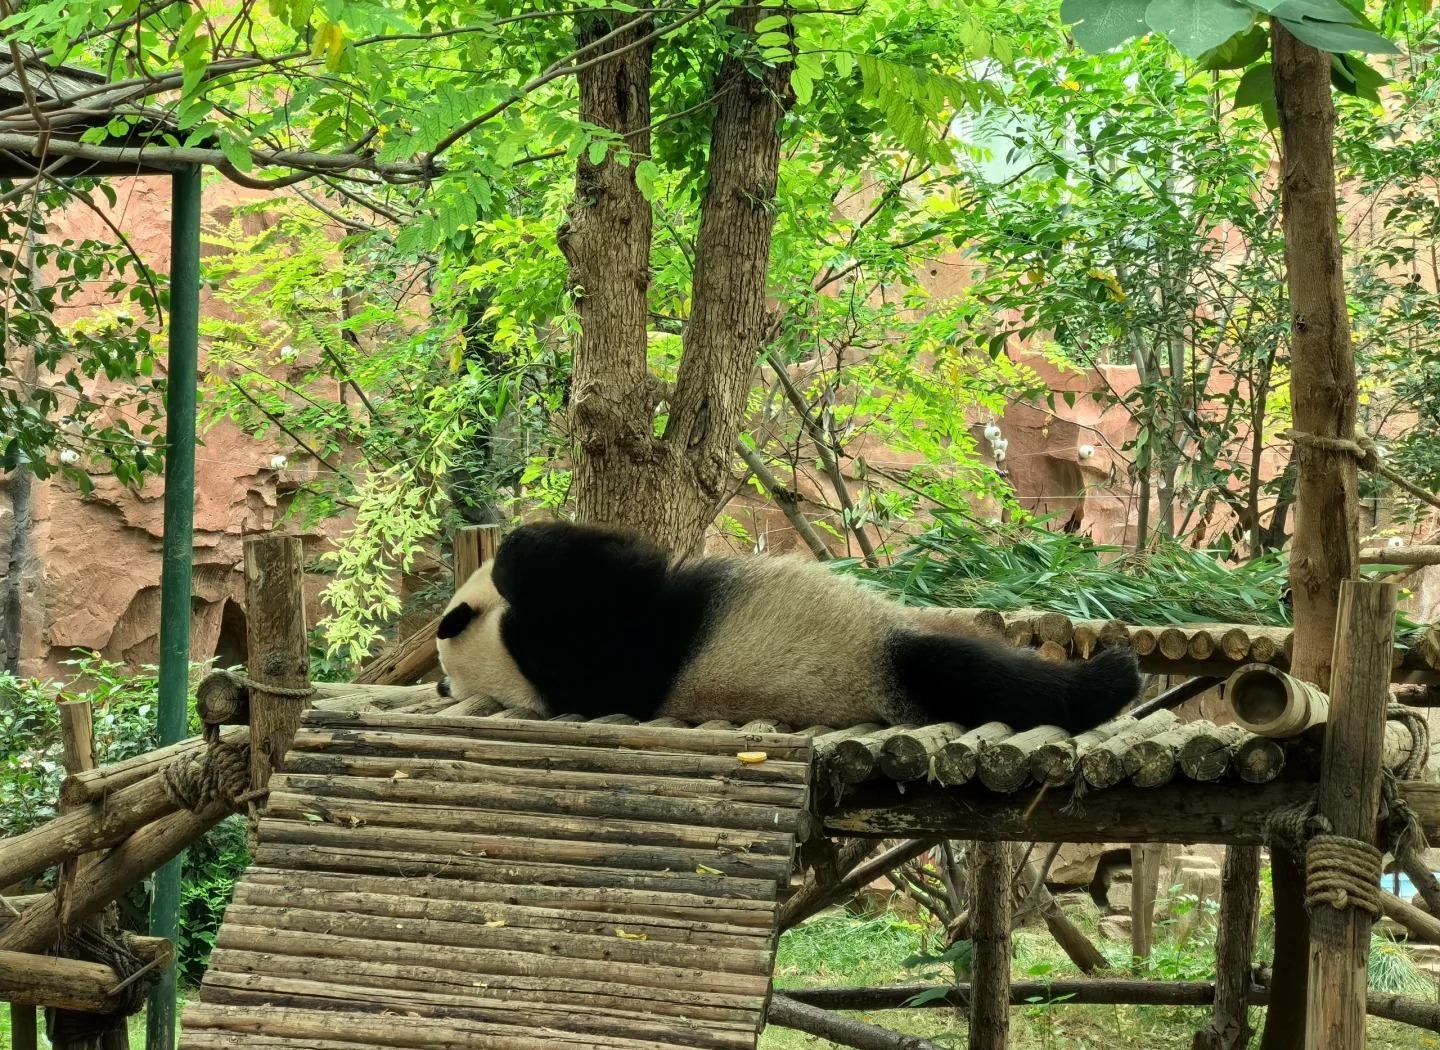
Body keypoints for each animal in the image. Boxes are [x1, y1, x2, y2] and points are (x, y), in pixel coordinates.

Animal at [434, 520, 1142, 733]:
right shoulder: (586, 642)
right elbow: (617, 572)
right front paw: (518, 552)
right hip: (879, 660)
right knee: (973, 675)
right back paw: (1112, 677)